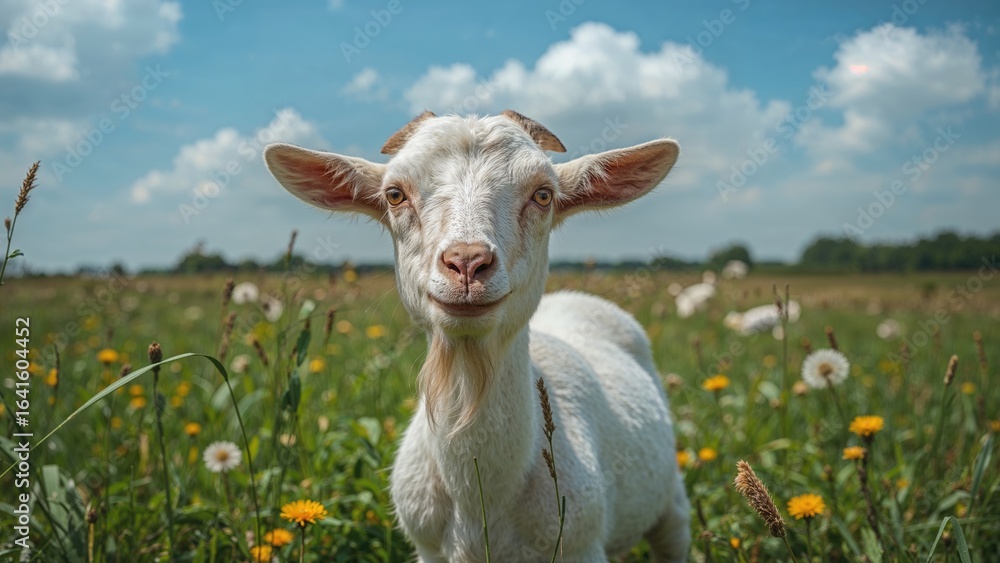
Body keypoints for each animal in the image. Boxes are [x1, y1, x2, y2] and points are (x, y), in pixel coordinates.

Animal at [263, 110, 690, 562]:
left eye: (543, 195)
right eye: (395, 195)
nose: (467, 262)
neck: (480, 502)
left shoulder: (580, 545)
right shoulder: (429, 548)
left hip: (672, 506)